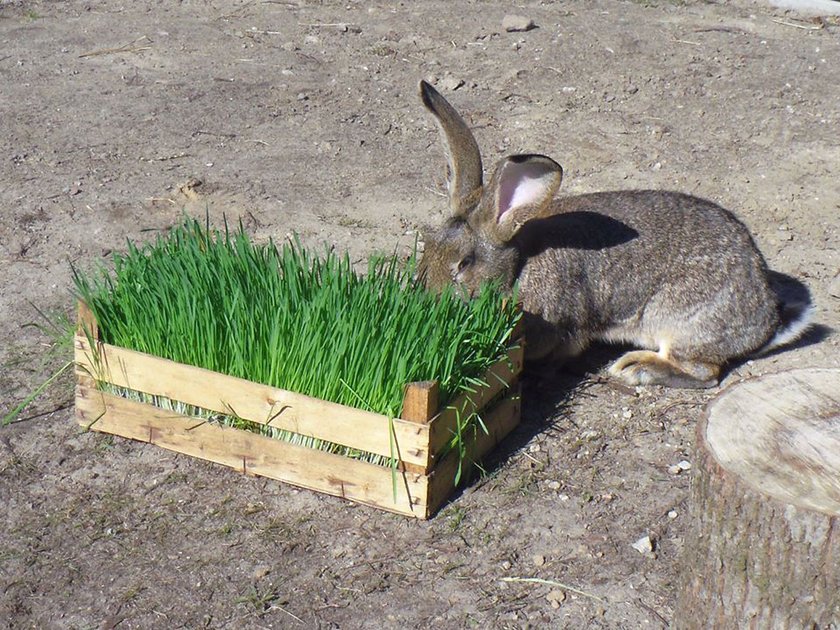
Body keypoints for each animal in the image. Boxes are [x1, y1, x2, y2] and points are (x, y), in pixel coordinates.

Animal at [420, 80, 812, 390]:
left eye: (464, 264)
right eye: (426, 249)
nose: (430, 301)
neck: (519, 267)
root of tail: (766, 319)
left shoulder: (565, 328)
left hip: (681, 321)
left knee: (705, 372)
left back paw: (636, 368)